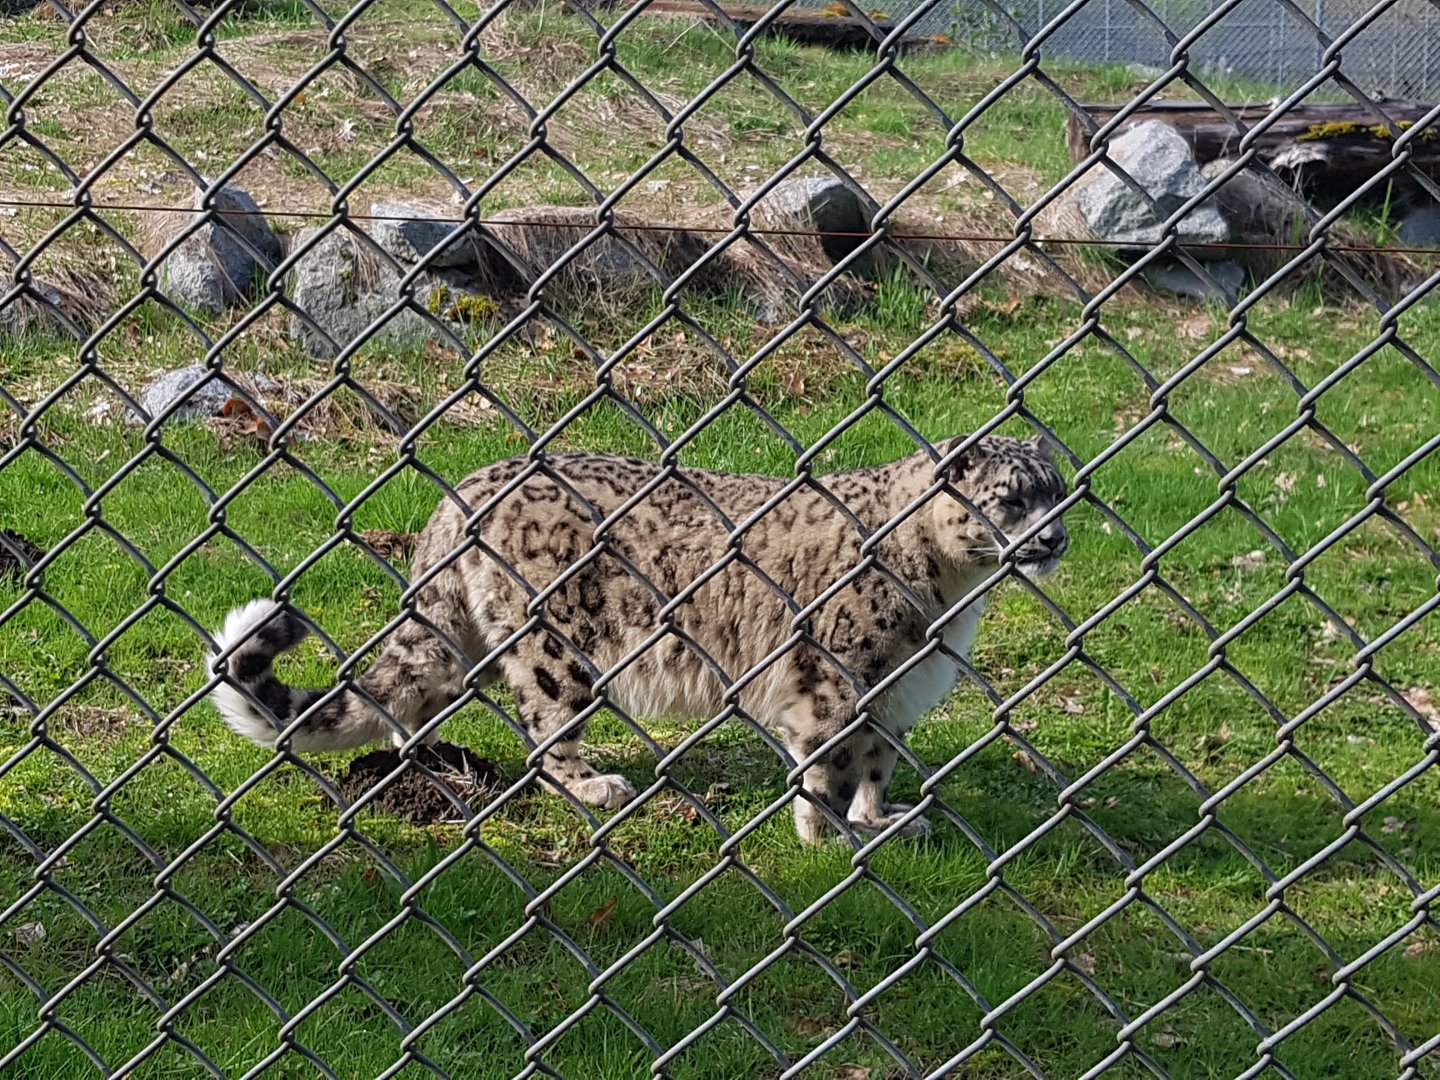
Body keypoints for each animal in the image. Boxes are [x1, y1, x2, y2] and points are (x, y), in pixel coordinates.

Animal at [209, 434, 1069, 842]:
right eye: (1011, 499)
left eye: (1058, 492)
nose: (1056, 538)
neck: (950, 597)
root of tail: (460, 496)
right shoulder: (835, 682)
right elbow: (825, 764)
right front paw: (823, 833)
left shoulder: (893, 693)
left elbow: (878, 765)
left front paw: (881, 820)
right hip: (559, 651)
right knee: (543, 731)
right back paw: (593, 786)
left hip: (464, 642)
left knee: (414, 697)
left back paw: (425, 764)